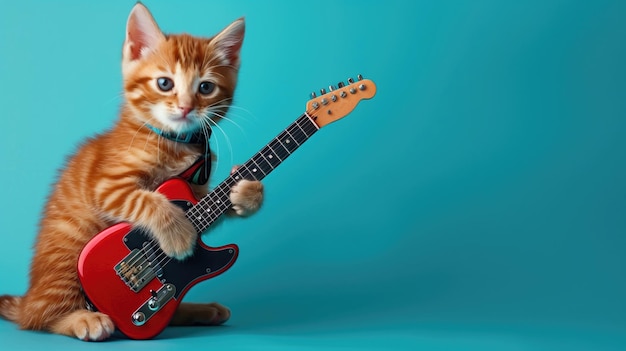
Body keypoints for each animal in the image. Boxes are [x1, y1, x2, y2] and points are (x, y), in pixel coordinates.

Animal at [0, 3, 260, 340]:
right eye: (165, 83)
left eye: (205, 87)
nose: (186, 108)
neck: (175, 142)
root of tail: (29, 297)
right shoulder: (107, 186)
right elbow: (147, 201)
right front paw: (178, 234)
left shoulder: (199, 191)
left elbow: (211, 210)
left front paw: (249, 192)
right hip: (69, 252)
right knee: (41, 317)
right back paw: (83, 319)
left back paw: (196, 310)